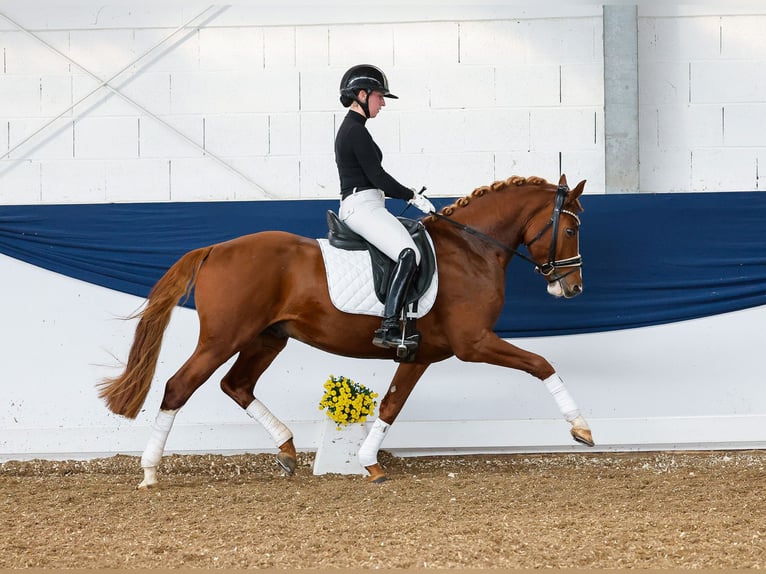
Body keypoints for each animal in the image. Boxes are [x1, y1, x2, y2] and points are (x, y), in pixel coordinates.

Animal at [100, 173, 592, 488]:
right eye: (571, 229)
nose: (572, 287)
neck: (472, 248)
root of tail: (215, 248)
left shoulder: (420, 354)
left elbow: (391, 405)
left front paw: (368, 463)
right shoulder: (473, 344)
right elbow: (541, 363)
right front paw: (581, 428)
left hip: (267, 338)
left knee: (236, 385)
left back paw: (286, 449)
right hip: (224, 338)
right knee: (179, 387)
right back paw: (150, 472)